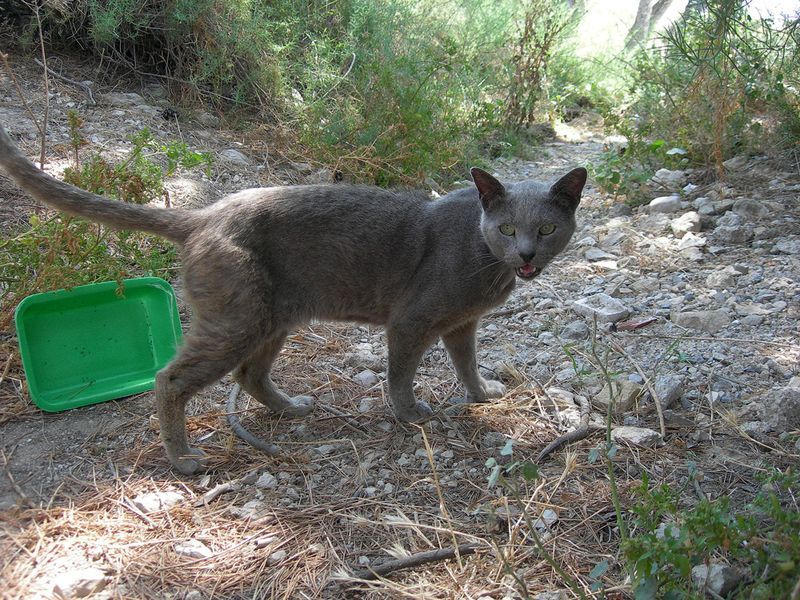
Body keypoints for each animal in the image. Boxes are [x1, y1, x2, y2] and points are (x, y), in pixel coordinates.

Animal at [0, 124, 588, 476]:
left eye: (547, 229)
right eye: (507, 228)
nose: (527, 254)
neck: (486, 262)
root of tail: (202, 215)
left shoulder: (462, 324)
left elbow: (466, 364)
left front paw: (483, 393)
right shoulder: (411, 322)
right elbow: (400, 374)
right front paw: (410, 414)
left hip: (270, 320)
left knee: (249, 376)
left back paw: (292, 408)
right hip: (237, 319)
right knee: (169, 379)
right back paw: (184, 458)